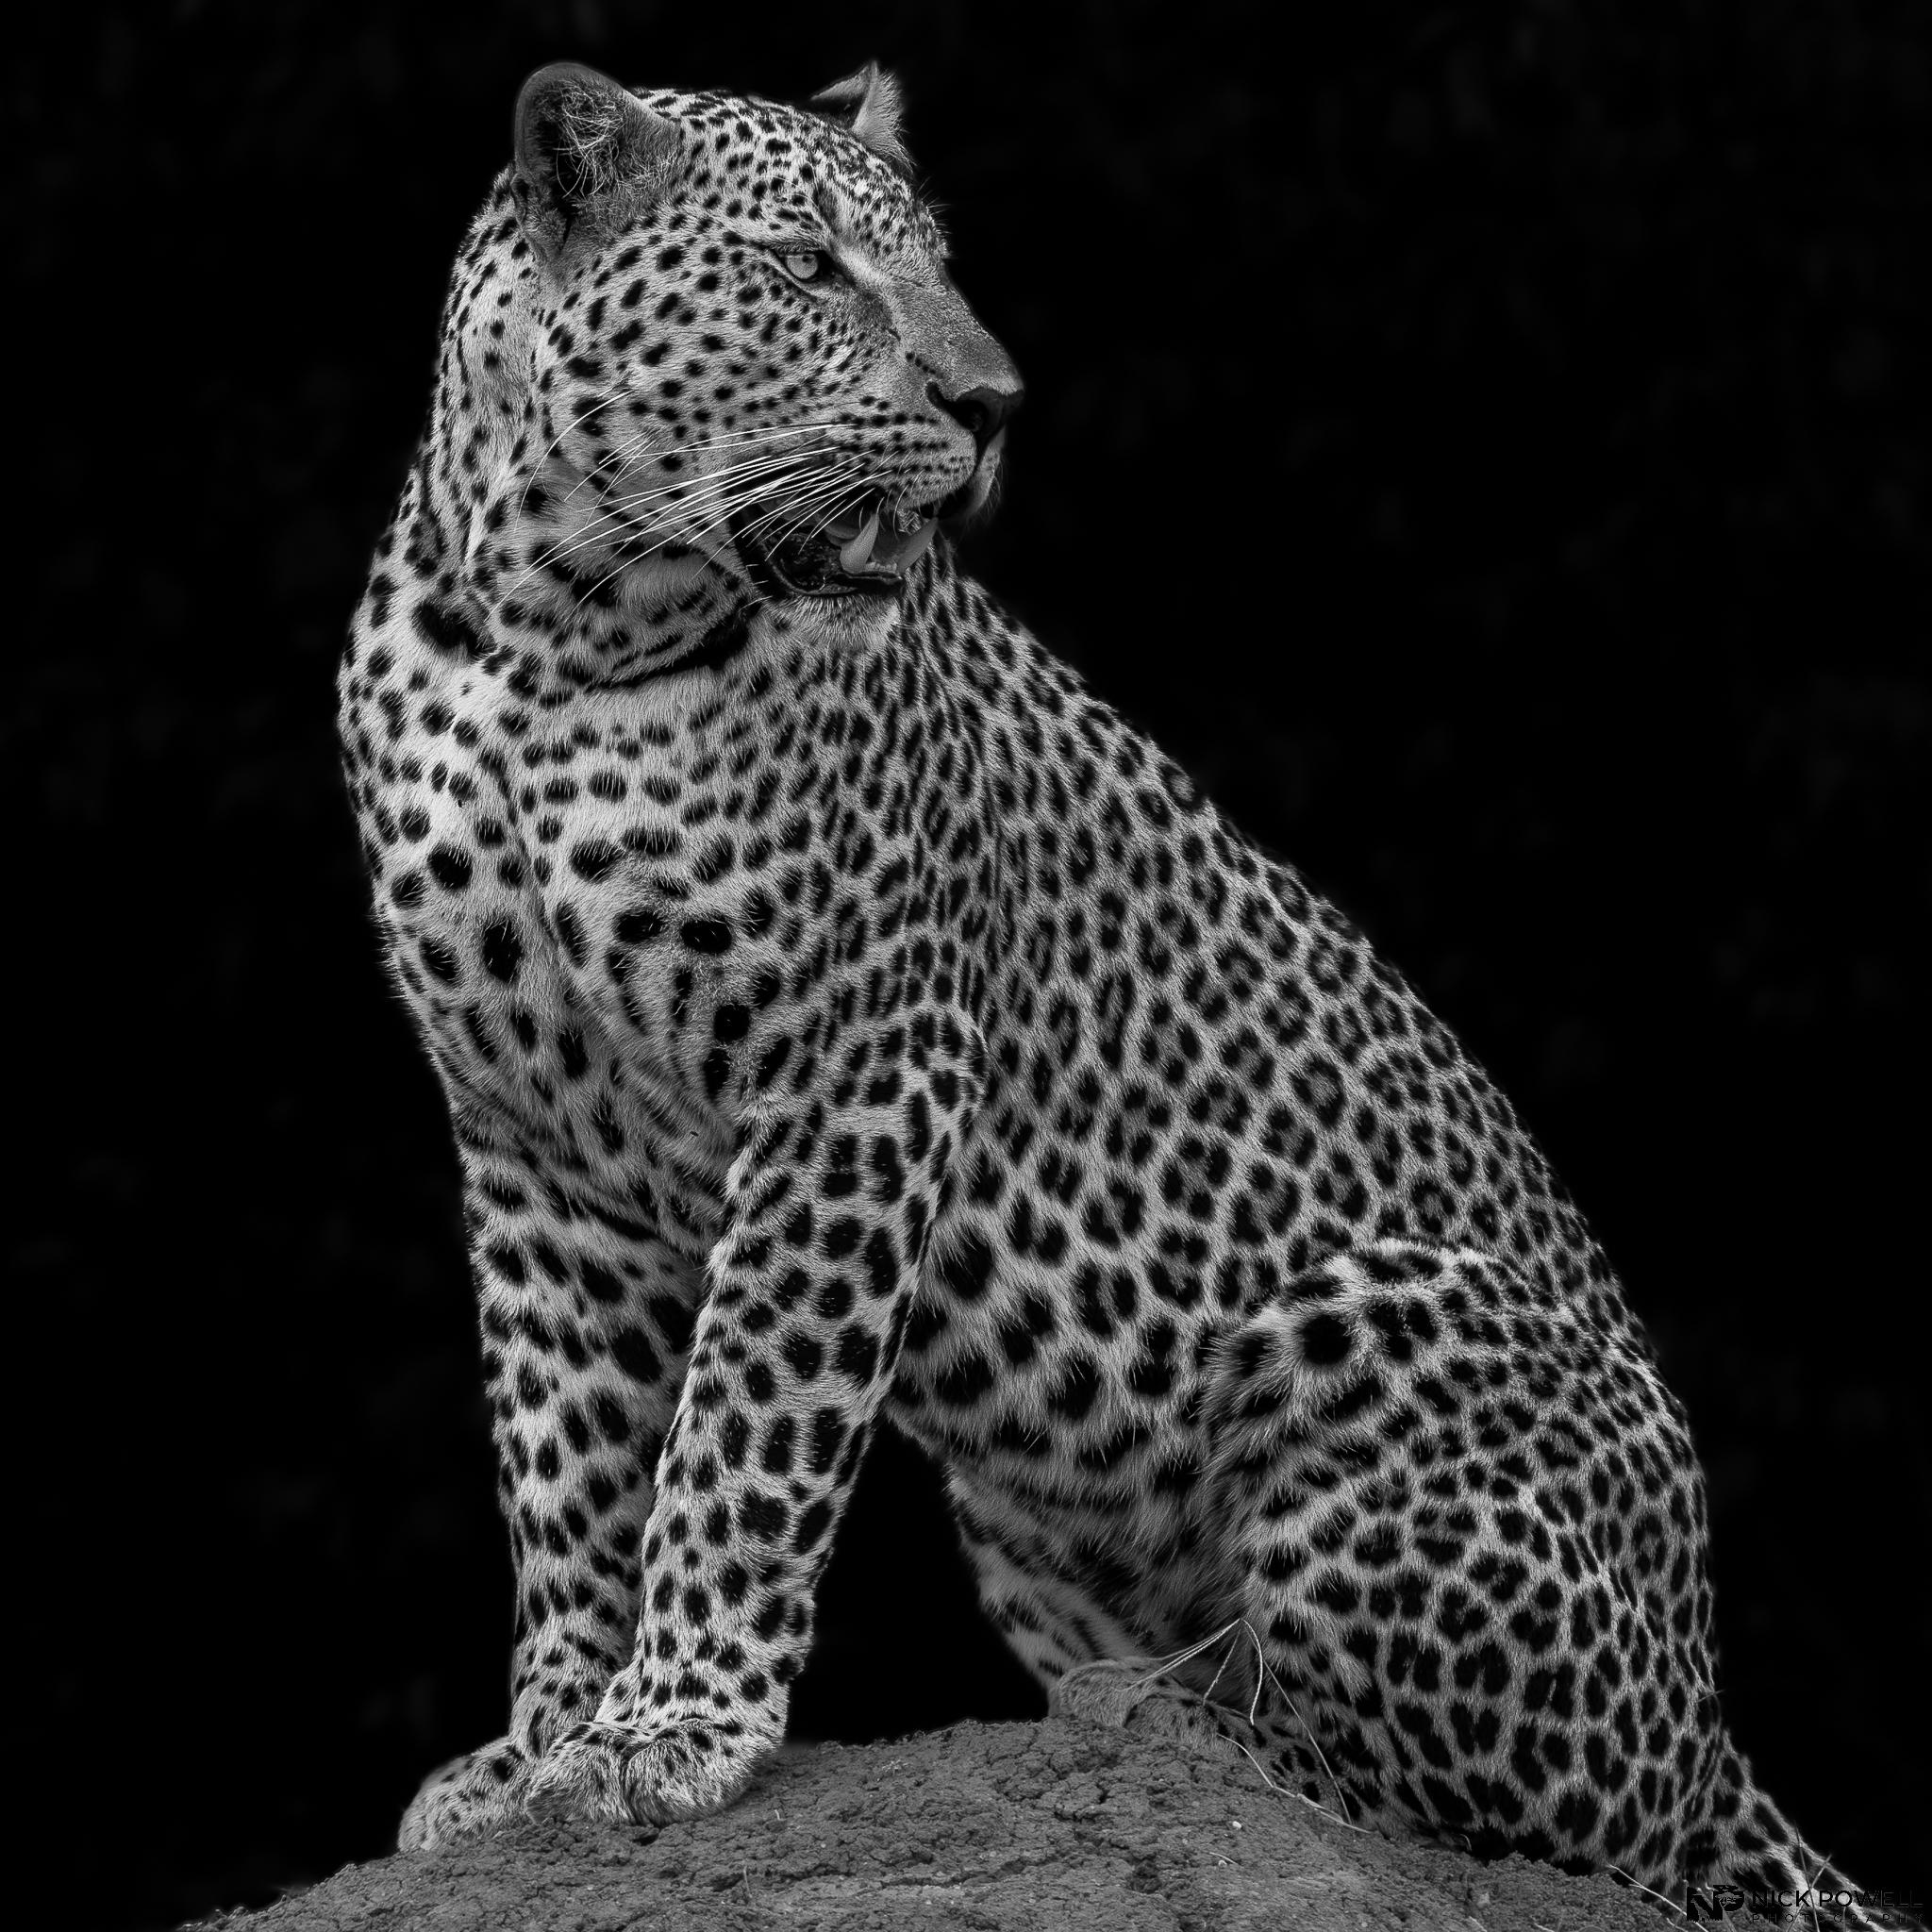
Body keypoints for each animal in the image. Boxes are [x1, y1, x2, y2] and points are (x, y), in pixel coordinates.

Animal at [336, 58, 1909, 1924]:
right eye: (804, 268)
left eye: (934, 262)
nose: (991, 401)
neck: (547, 632)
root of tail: (1711, 1702)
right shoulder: (526, 1146)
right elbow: (564, 1460)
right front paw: (543, 1743)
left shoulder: (855, 1073)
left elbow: (742, 1422)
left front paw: (674, 1726)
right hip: (1030, 1522)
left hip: (1376, 1322)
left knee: (1557, 1832)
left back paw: (1202, 1741)